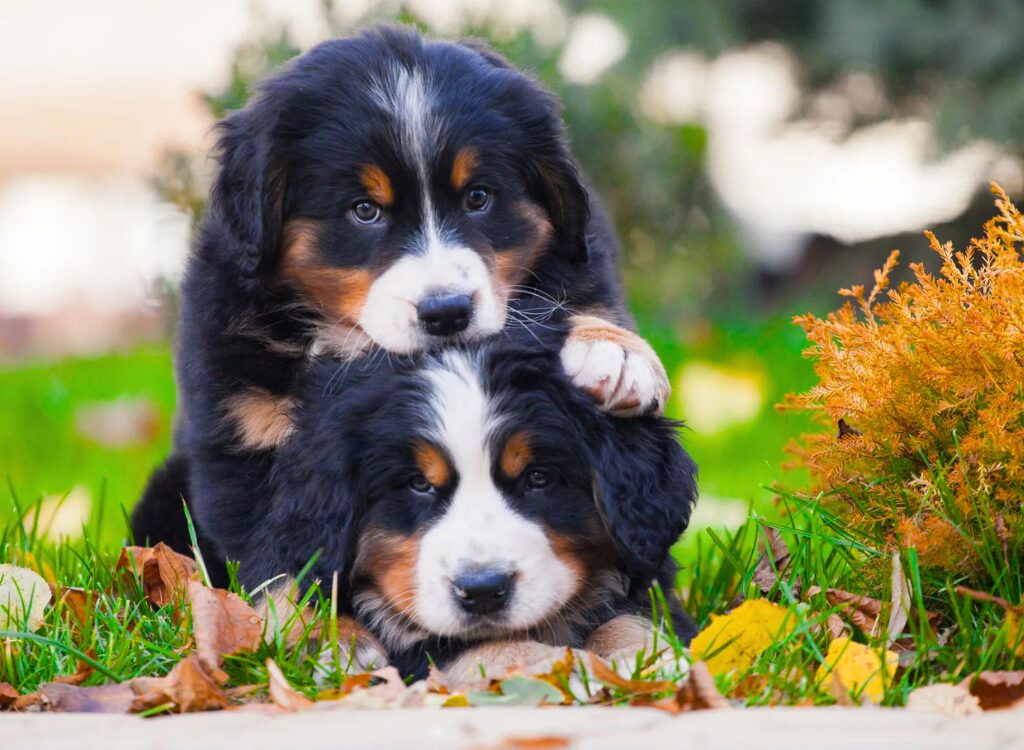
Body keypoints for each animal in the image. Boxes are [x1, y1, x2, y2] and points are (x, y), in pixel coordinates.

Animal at [136, 327, 700, 680]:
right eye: (417, 485)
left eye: (538, 478)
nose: (483, 591)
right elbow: (481, 646)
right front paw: (557, 666)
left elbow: (635, 618)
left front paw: (650, 662)